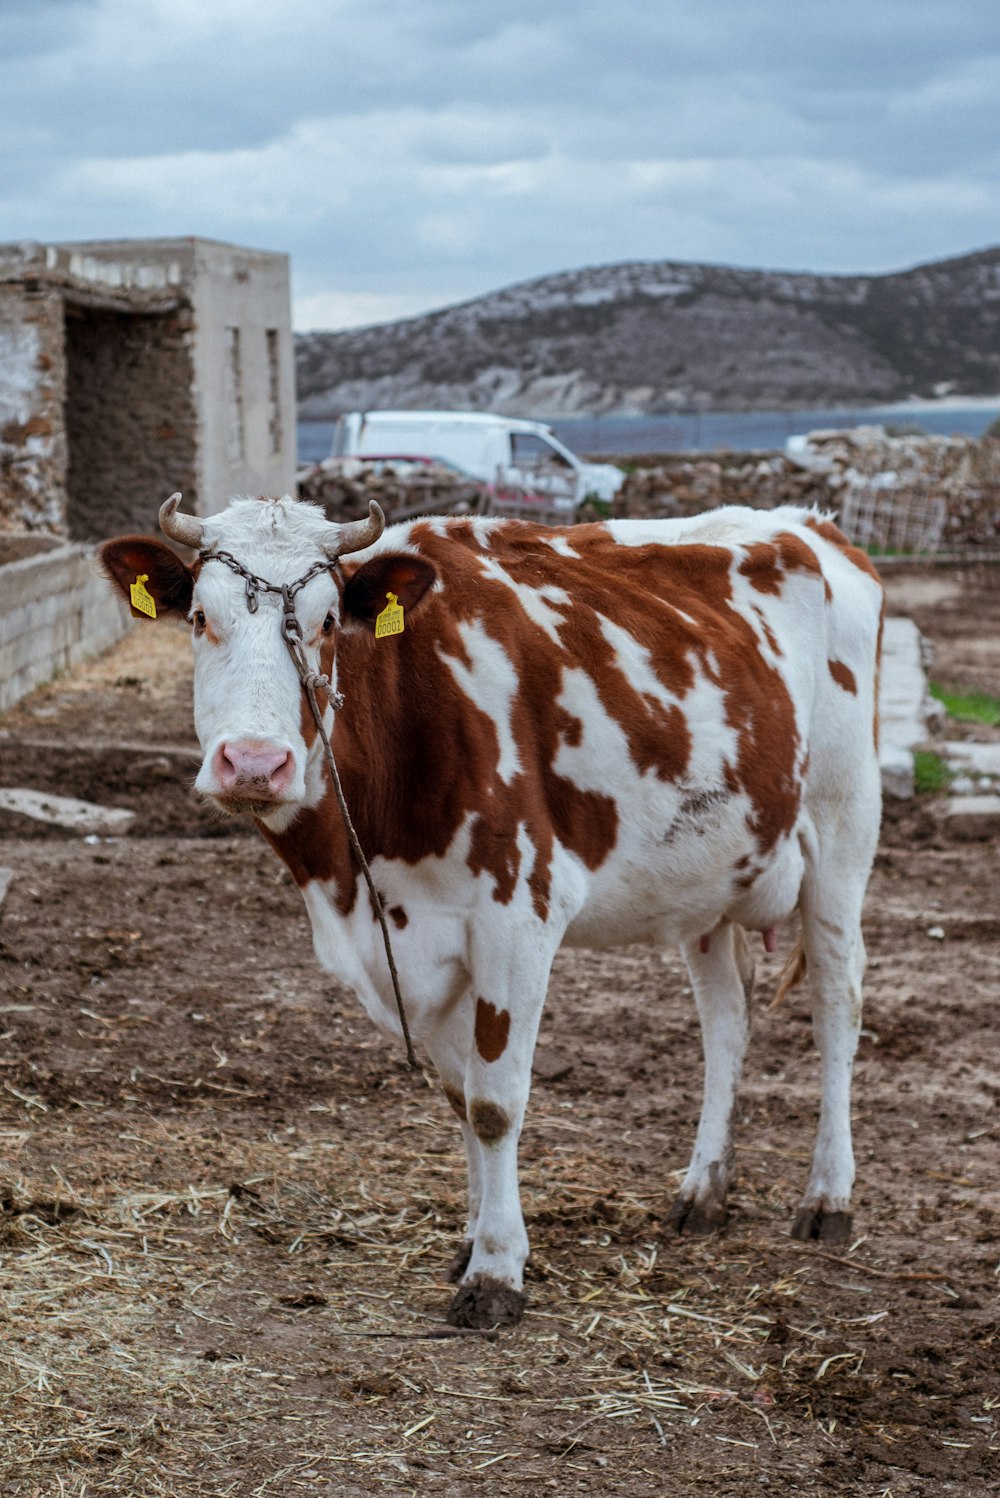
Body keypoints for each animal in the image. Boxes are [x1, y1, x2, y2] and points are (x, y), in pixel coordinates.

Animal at [99, 497, 880, 1330]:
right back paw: (705, 1189)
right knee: (726, 1019)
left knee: (838, 1002)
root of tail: (811, 523)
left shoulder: (519, 914)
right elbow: (459, 1096)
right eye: (198, 618)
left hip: (841, 833)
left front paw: (498, 1271)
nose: (253, 764)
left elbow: (495, 1102)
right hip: (710, 878)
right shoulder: (414, 948)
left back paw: (829, 1197)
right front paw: (471, 1242)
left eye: (326, 620)